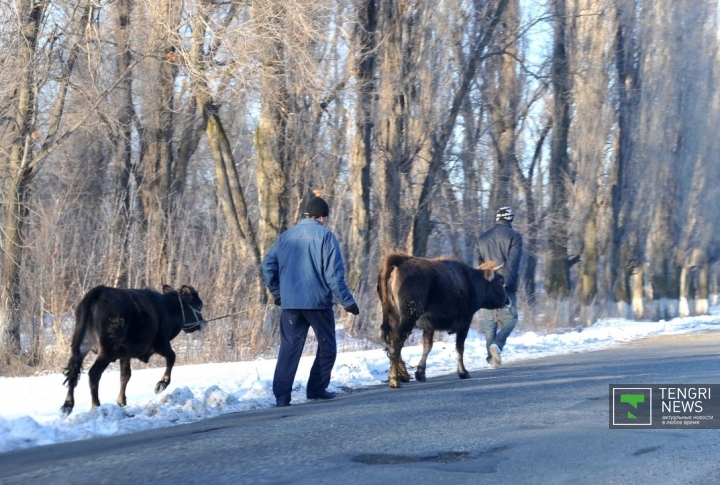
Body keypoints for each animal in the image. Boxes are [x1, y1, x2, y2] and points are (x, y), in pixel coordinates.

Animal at [376, 251, 506, 388]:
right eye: (501, 281)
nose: (507, 300)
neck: (470, 281)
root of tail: (399, 260)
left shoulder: (429, 326)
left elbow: (427, 347)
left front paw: (420, 373)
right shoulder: (464, 323)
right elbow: (459, 348)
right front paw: (463, 372)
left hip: (393, 318)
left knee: (392, 344)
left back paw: (403, 375)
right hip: (408, 318)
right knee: (395, 345)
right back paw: (395, 379)